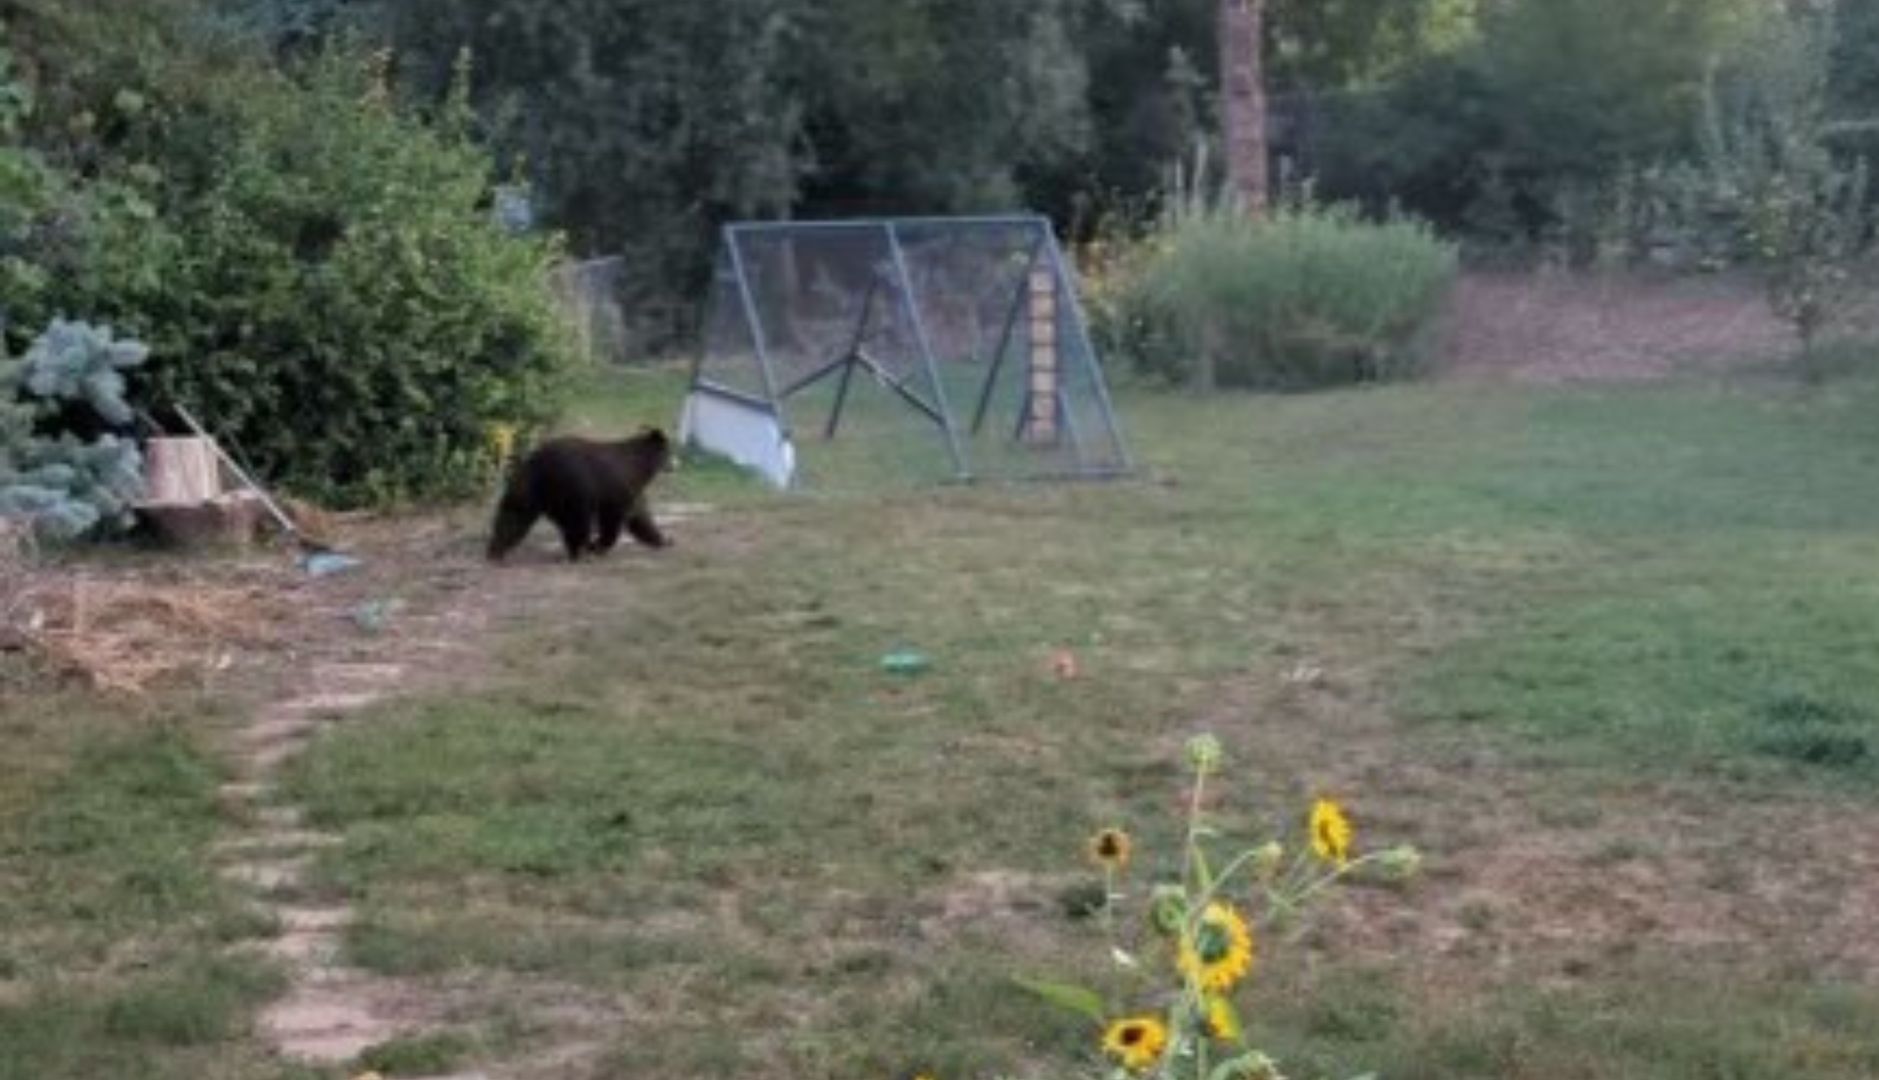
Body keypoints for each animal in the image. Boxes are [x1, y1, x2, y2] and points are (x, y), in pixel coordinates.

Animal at [484, 428, 676, 567]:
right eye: (670, 451)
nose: (675, 465)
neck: (640, 467)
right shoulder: (613, 488)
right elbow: (610, 520)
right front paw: (595, 546)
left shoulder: (631, 490)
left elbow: (640, 517)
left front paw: (664, 540)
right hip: (566, 489)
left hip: (537, 494)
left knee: (513, 515)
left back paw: (495, 550)